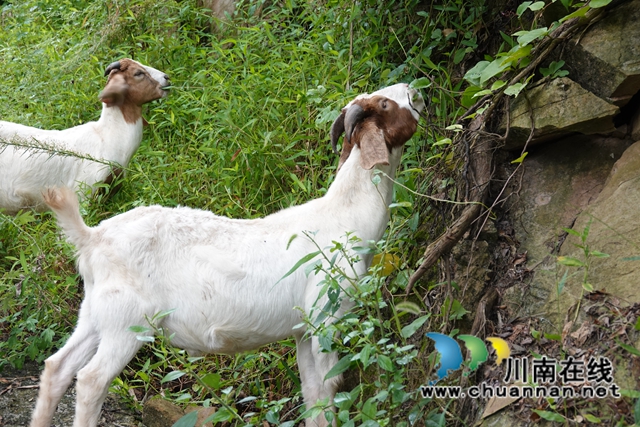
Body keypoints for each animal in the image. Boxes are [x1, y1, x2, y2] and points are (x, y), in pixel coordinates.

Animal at [33, 83, 424, 427]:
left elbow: (312, 393)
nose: (417, 90)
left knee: (57, 367)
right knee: (91, 379)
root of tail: (91, 237)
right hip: (127, 322)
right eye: (386, 104)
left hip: (97, 312)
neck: (344, 216)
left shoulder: (302, 330)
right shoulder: (326, 317)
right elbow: (330, 390)